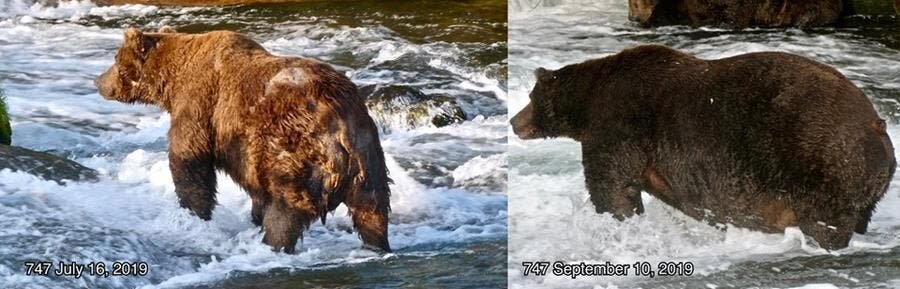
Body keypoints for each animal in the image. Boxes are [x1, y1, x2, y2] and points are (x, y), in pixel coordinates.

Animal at [95, 27, 390, 252]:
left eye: (115, 59)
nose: (98, 81)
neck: (171, 81)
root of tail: (342, 123)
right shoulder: (251, 155)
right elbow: (256, 190)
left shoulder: (199, 103)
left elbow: (189, 161)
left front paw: (192, 215)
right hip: (368, 158)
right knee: (373, 209)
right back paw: (377, 245)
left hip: (298, 150)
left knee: (287, 208)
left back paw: (273, 244)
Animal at [510, 44, 896, 249]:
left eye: (530, 97)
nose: (514, 121)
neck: (588, 102)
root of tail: (878, 127)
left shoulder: (619, 124)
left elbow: (612, 186)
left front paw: (618, 221)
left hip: (822, 160)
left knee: (824, 221)